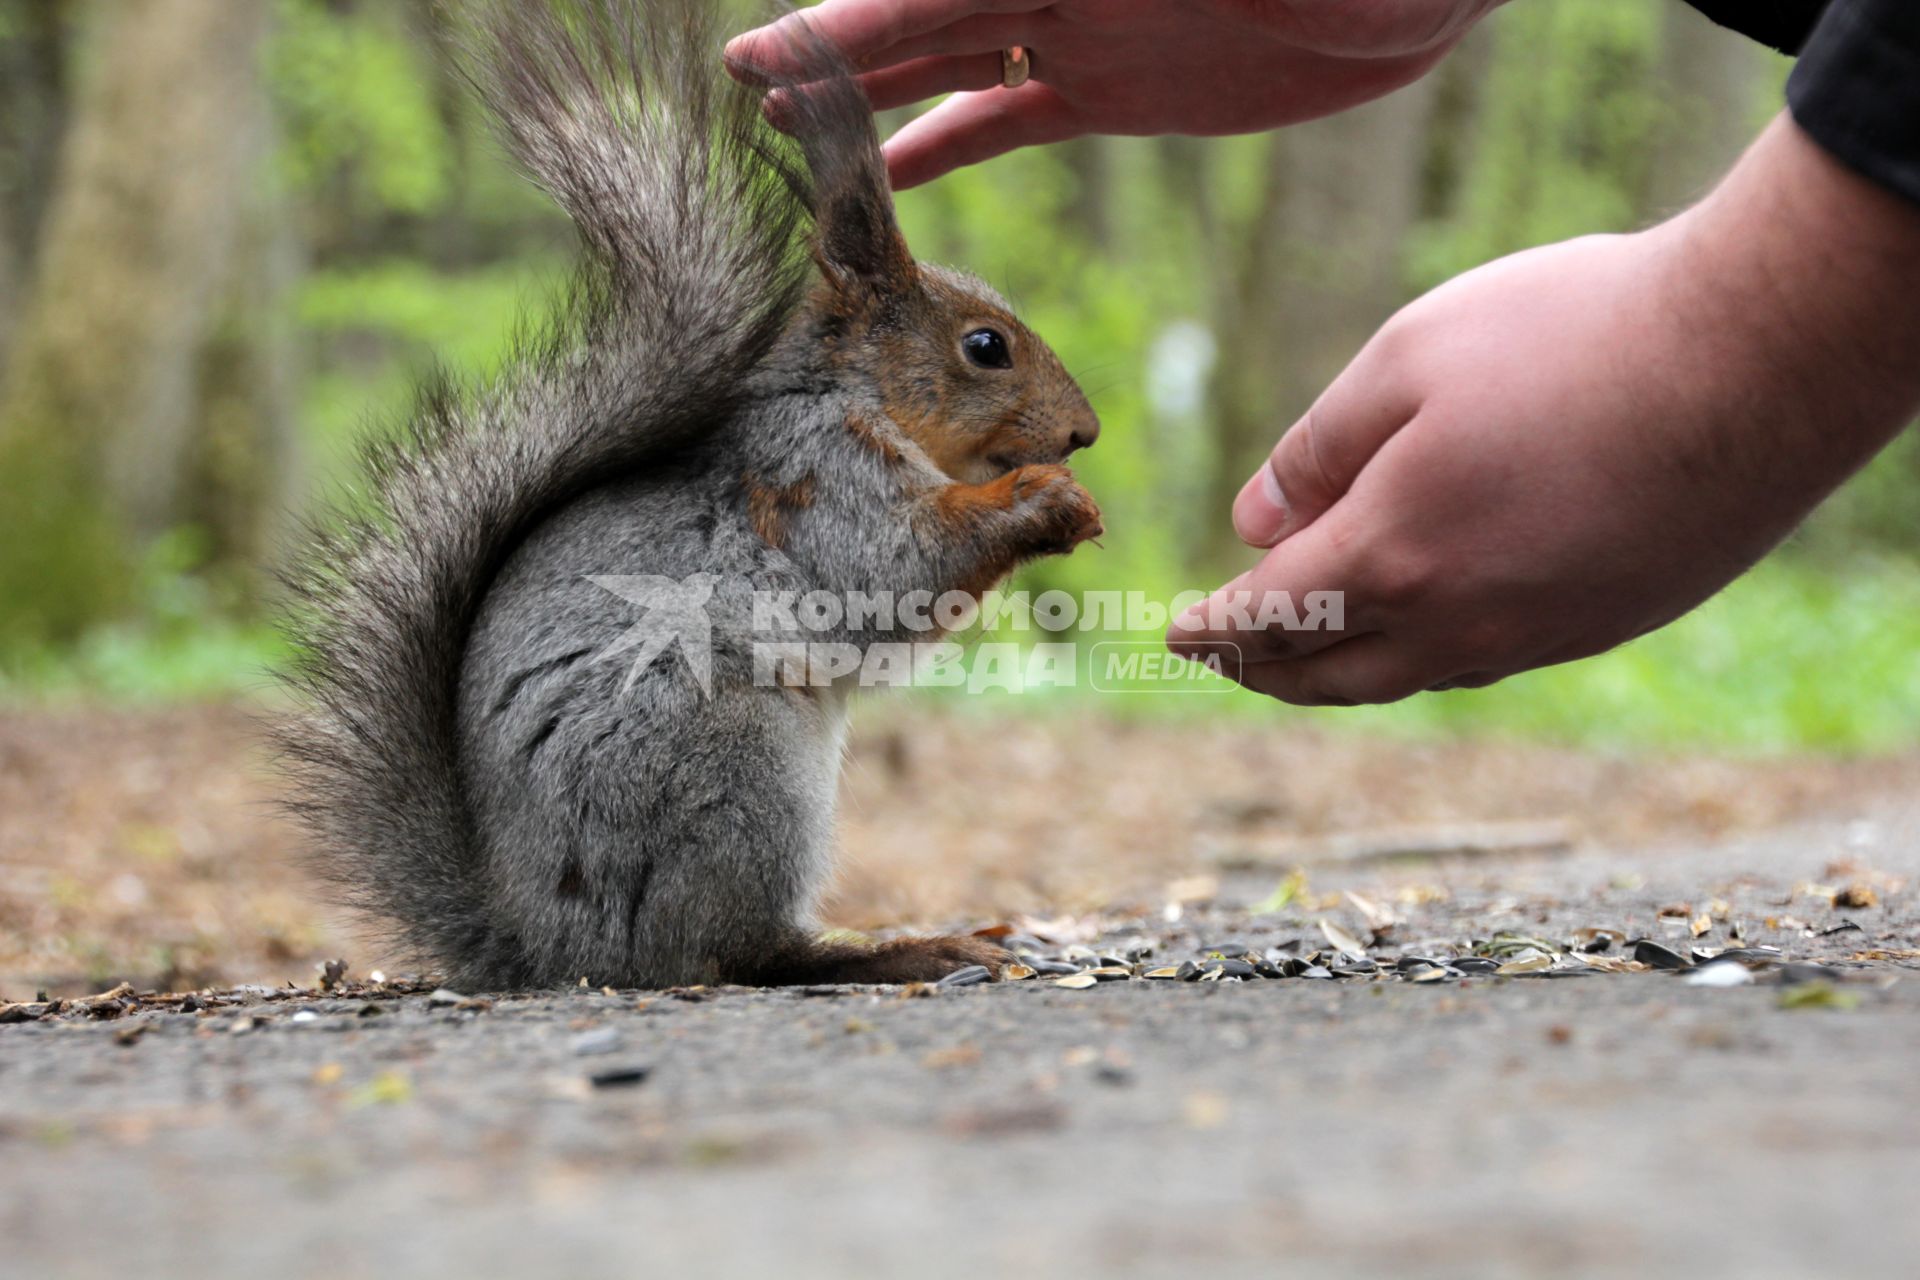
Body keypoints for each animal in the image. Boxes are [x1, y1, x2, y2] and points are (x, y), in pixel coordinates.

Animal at [276, 0, 1105, 990]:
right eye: (985, 348)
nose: (1086, 433)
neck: (851, 395)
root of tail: (548, 948)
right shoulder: (815, 487)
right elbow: (899, 567)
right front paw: (1047, 498)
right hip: (733, 772)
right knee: (727, 952)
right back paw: (894, 949)